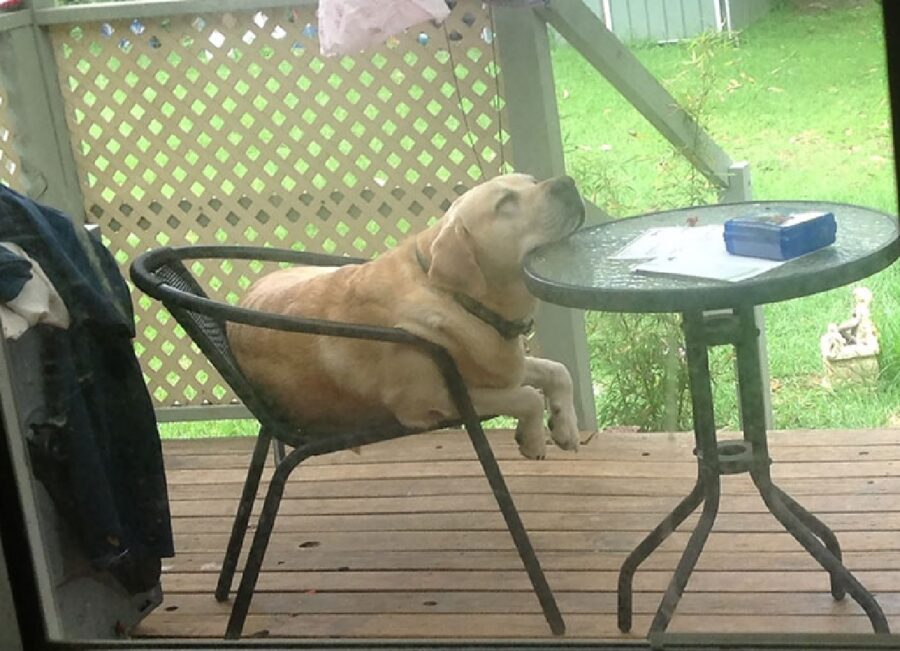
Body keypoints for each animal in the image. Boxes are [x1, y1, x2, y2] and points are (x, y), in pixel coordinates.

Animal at [227, 173, 584, 458]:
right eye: (506, 202)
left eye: (532, 180)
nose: (567, 182)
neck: (457, 298)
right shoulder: (429, 399)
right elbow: (528, 397)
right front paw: (534, 439)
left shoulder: (501, 369)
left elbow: (558, 370)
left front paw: (565, 425)